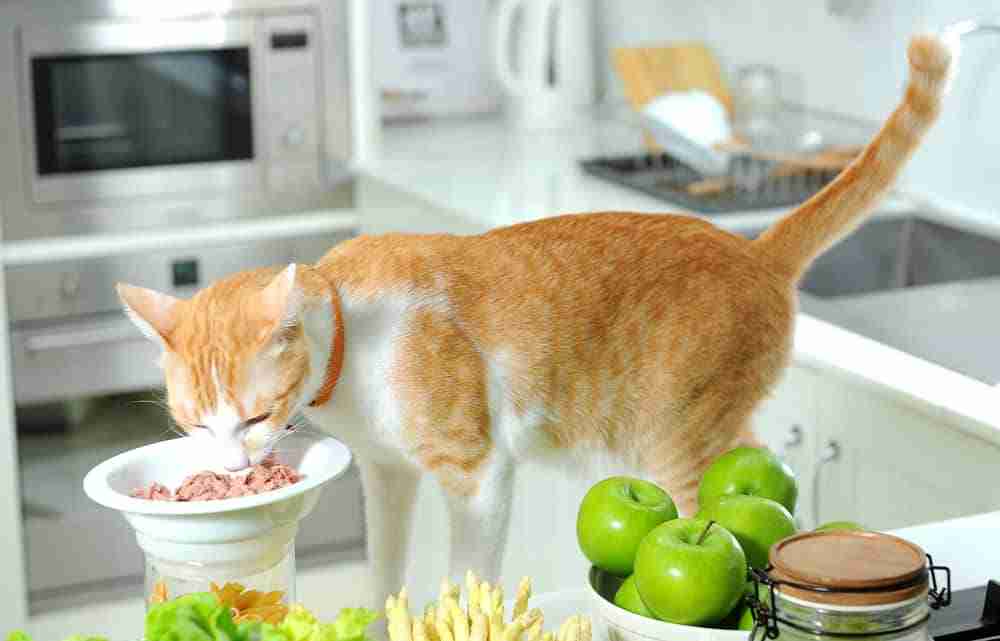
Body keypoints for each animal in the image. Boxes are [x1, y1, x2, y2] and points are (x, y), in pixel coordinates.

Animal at [121, 33, 956, 596]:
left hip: (680, 439)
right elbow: (386, 570)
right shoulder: (387, 476)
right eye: (195, 425)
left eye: (255, 418)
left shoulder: (480, 474)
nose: (232, 468)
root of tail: (756, 249)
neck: (355, 338)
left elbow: (468, 578)